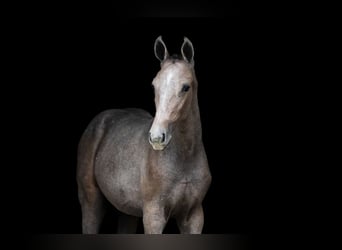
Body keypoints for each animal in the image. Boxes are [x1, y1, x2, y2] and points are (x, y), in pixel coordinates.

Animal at [77, 36, 211, 233]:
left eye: (186, 87)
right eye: (154, 85)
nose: (157, 137)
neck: (184, 158)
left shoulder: (194, 216)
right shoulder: (153, 215)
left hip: (127, 210)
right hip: (91, 201)